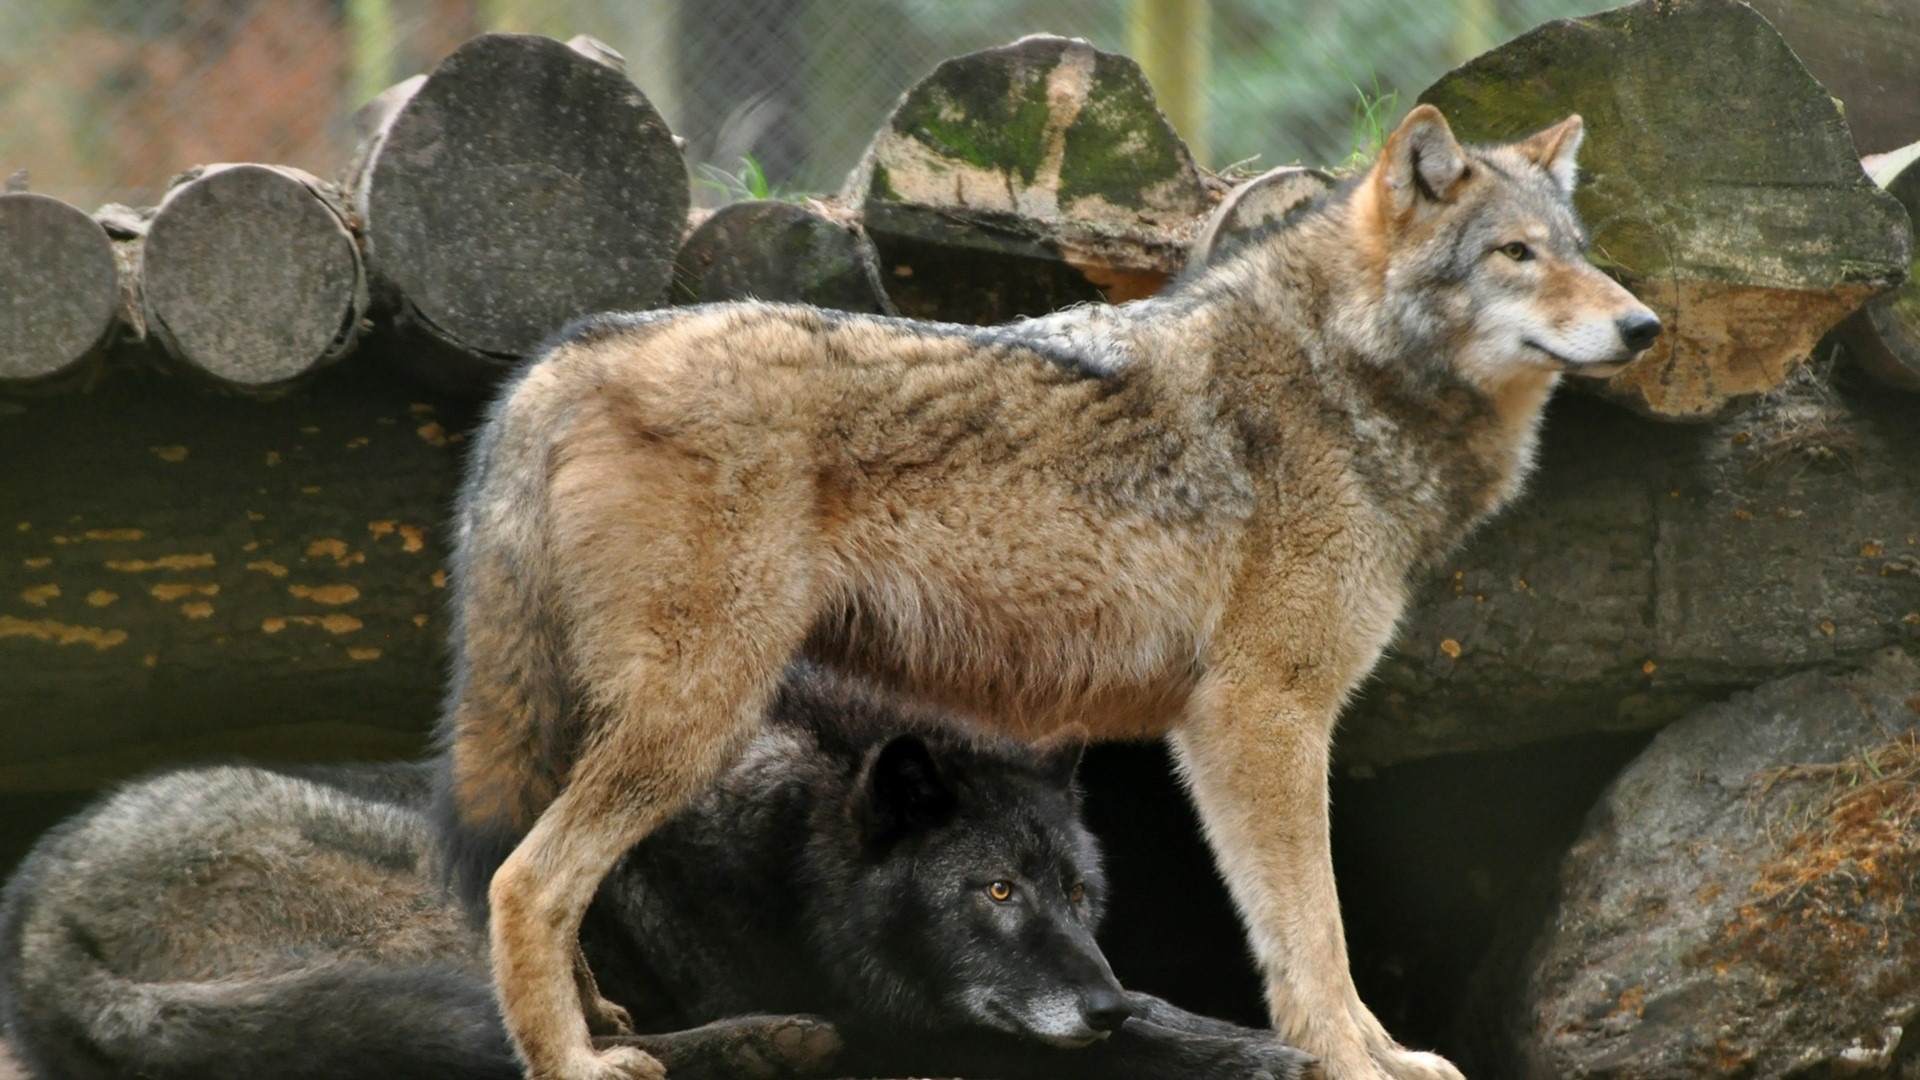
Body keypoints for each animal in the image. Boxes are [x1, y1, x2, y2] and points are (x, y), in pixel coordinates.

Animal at [0, 666, 1313, 1080]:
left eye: (1079, 896)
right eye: (995, 893)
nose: (1093, 1002)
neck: (786, 856)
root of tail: (39, 912)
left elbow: (1157, 1009)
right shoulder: (915, 1026)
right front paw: (1252, 1052)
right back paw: (760, 1045)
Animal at [436, 104, 1661, 1080]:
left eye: (1583, 254)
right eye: (1514, 254)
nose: (1645, 326)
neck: (1341, 379)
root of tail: (567, 352)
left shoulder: (1226, 729)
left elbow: (1307, 936)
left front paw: (1387, 1058)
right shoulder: (1262, 715)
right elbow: (1315, 934)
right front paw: (1358, 1070)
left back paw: (603, 1027)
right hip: (692, 716)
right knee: (524, 883)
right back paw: (576, 1065)